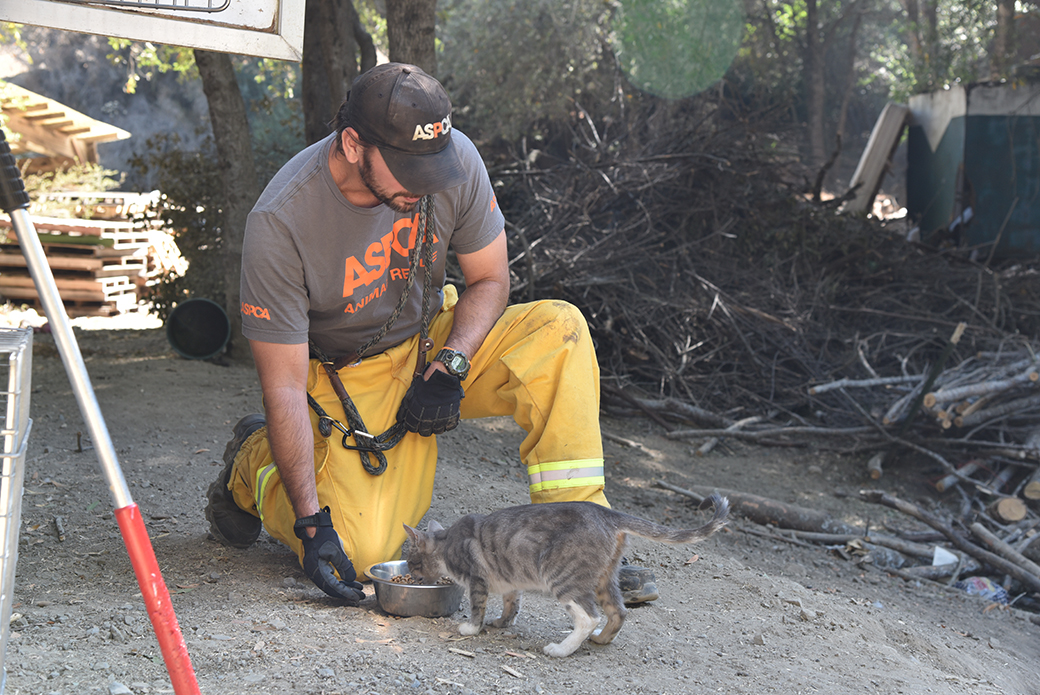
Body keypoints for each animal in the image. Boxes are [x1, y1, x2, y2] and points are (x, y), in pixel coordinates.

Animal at [401, 493, 728, 657]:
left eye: (411, 561)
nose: (410, 575)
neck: (447, 542)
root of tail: (607, 514)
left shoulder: (477, 579)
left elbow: (477, 607)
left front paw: (470, 628)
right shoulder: (510, 581)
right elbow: (511, 604)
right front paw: (503, 623)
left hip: (562, 576)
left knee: (589, 616)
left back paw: (560, 649)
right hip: (604, 578)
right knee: (618, 612)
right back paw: (601, 640)